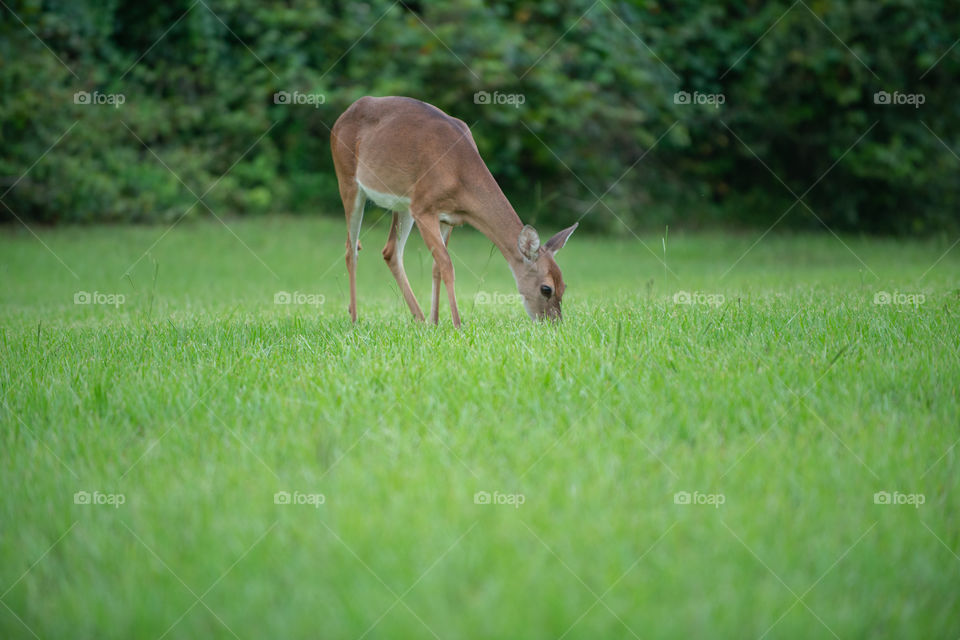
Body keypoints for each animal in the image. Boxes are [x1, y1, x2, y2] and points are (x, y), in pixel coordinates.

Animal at [330, 96, 578, 328]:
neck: (459, 172)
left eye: (564, 285)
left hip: (403, 204)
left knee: (390, 251)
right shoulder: (424, 209)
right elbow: (447, 265)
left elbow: (436, 267)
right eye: (546, 288)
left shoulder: (447, 218)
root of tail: (342, 116)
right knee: (351, 248)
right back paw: (354, 319)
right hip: (348, 181)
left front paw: (436, 322)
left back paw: (420, 319)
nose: (554, 324)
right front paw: (457, 324)